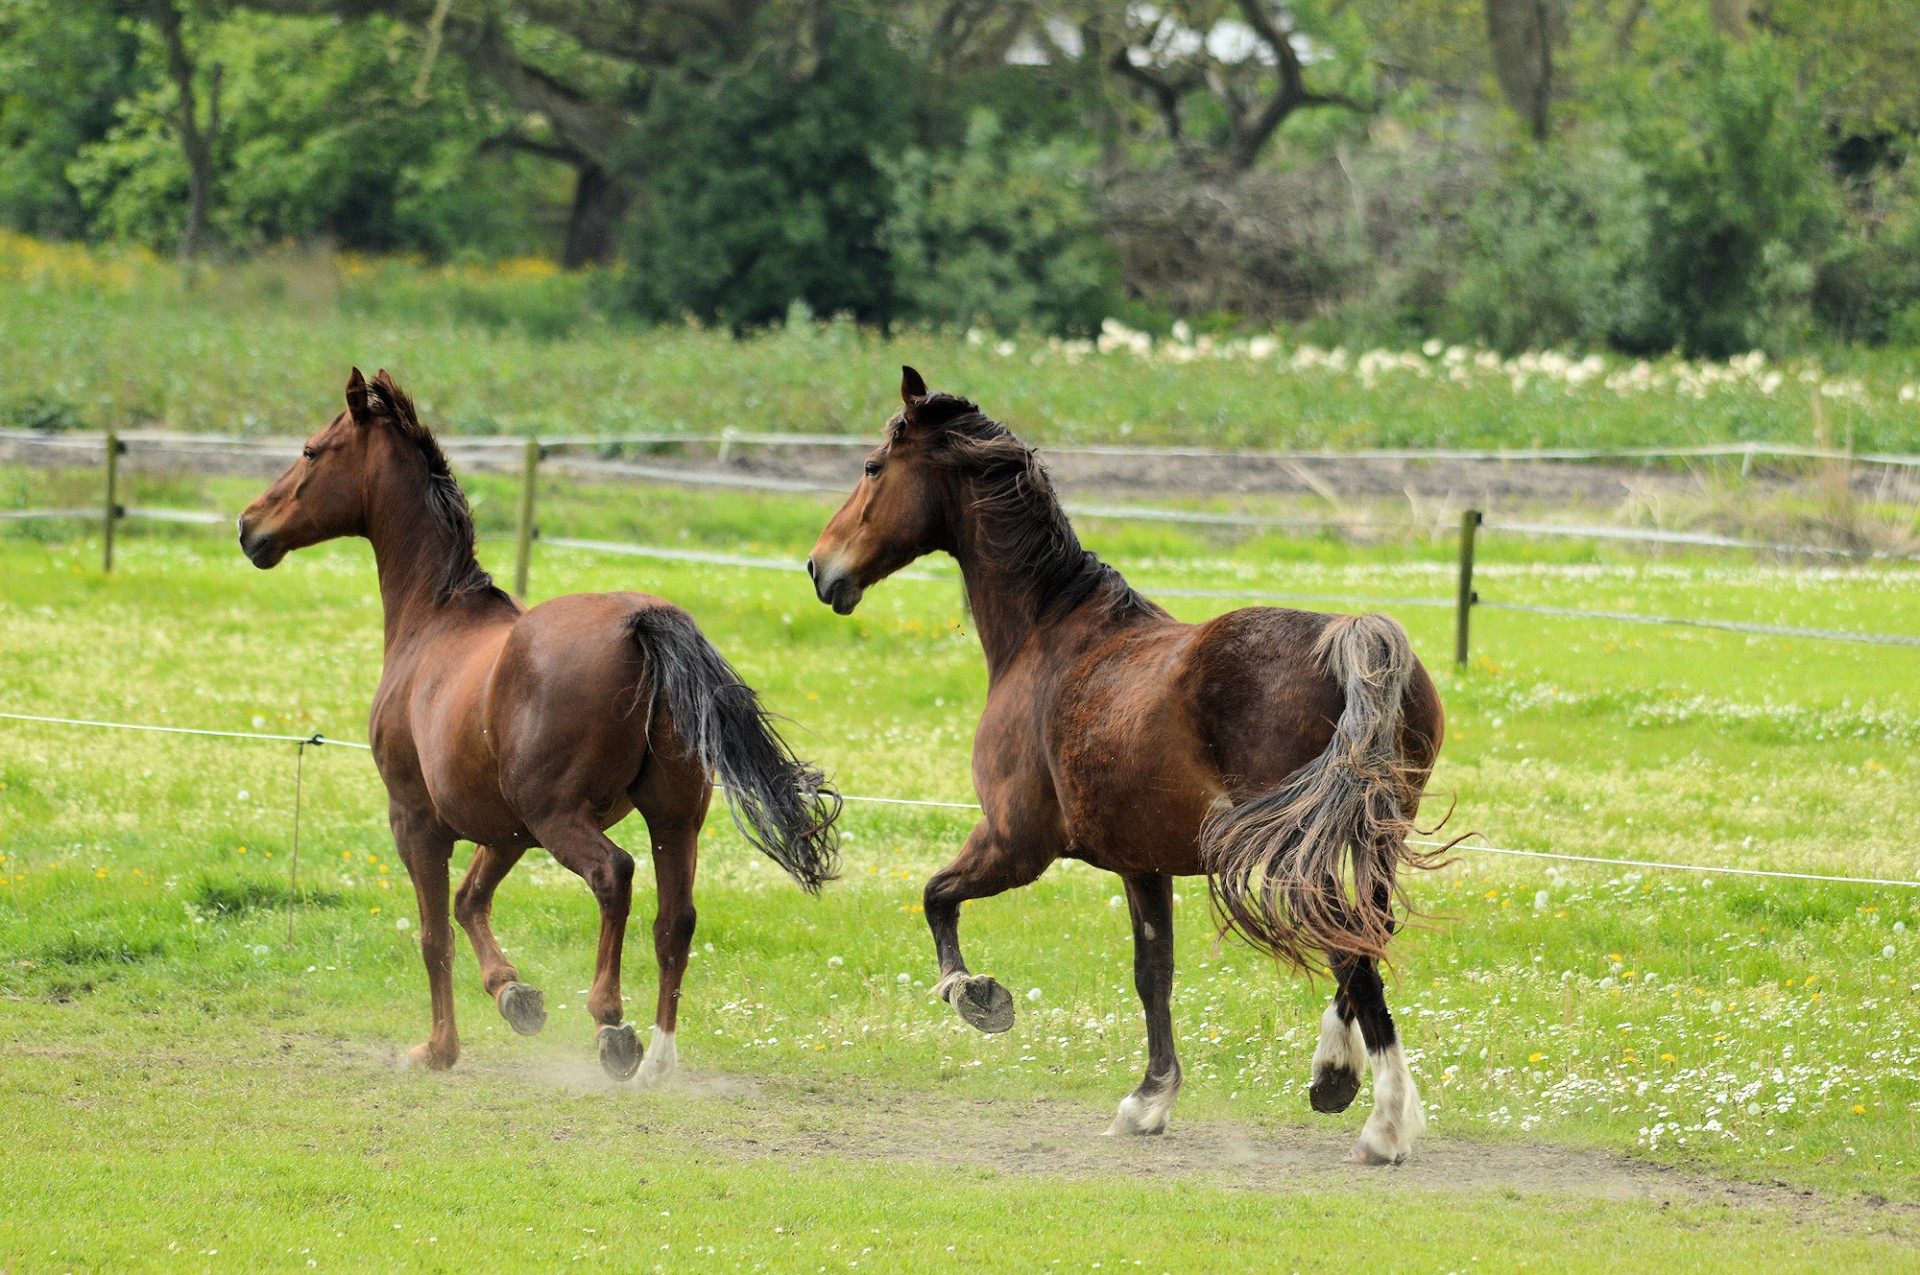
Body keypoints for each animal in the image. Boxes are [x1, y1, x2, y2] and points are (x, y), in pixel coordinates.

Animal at [240, 368, 840, 1082]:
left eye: (309, 452)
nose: (249, 527)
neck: (433, 617)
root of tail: (640, 622)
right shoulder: (505, 830)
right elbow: (470, 901)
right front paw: (515, 996)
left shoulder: (417, 821)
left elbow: (435, 934)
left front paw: (438, 1050)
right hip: (670, 821)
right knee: (675, 921)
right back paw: (656, 1061)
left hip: (563, 819)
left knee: (614, 876)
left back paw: (611, 1025)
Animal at [802, 368, 1443, 1167]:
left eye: (871, 467)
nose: (820, 568)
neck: (1047, 632)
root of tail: (1355, 640)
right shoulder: (1145, 864)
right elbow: (1153, 975)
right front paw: (1149, 1099)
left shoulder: (1014, 842)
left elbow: (935, 897)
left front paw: (978, 996)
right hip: (1370, 841)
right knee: (1363, 939)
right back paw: (1335, 1074)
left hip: (1304, 854)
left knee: (1350, 951)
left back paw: (1384, 1123)